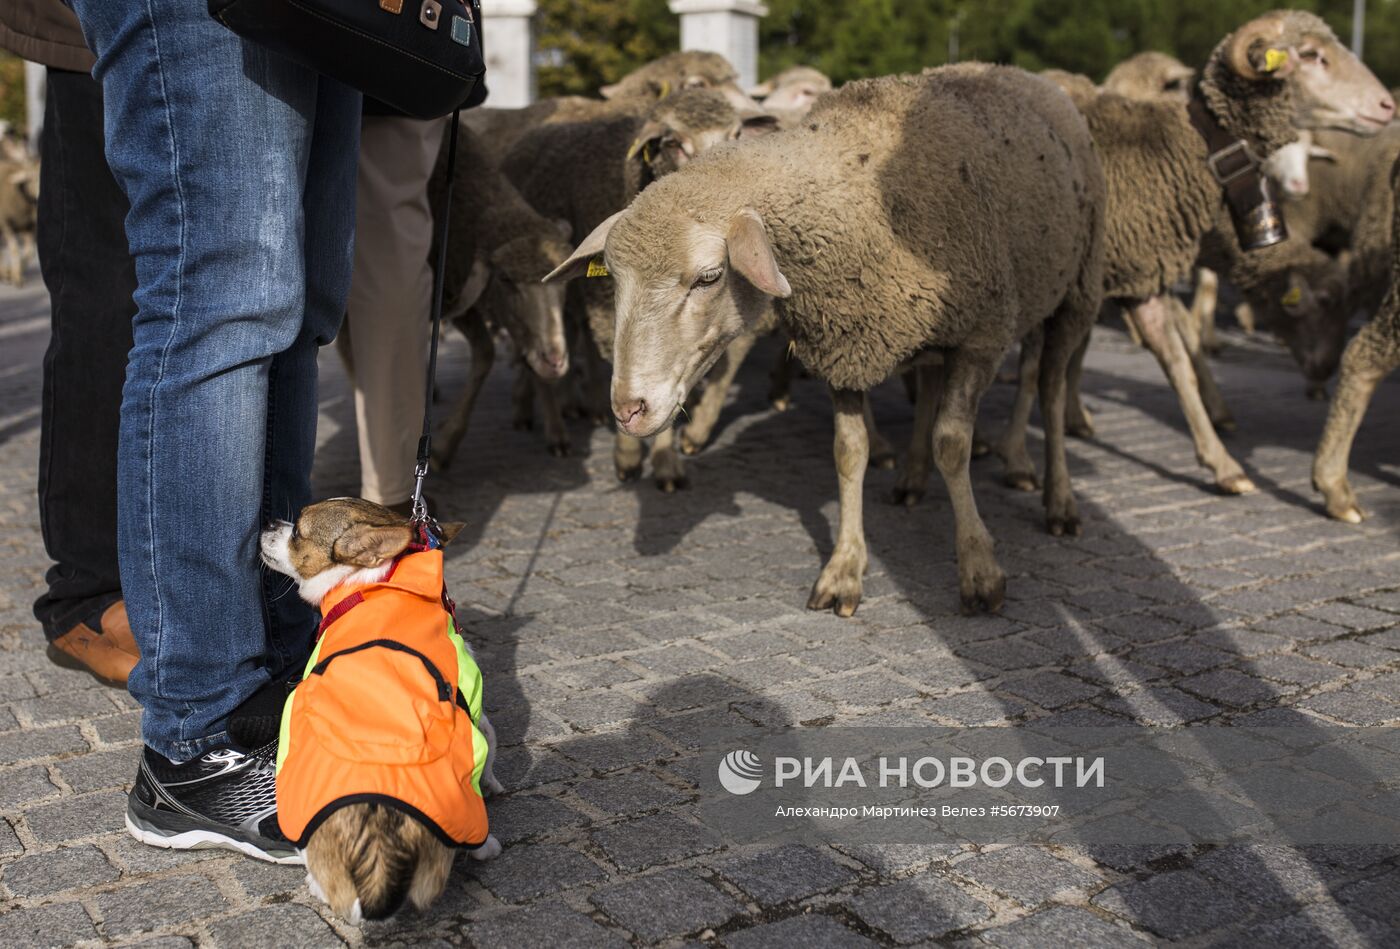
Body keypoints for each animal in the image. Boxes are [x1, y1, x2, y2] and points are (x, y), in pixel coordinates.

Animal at [428, 125, 576, 467]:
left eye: (562, 279)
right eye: (506, 279)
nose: (556, 361)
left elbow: (511, 354)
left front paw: (556, 431)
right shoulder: (451, 295)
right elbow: (485, 353)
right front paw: (443, 445)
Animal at [546, 66, 1103, 615]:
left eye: (708, 277)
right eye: (614, 278)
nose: (627, 410)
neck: (855, 196)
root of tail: (1032, 76)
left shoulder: (981, 337)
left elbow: (952, 443)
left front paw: (980, 570)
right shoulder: (845, 341)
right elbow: (848, 452)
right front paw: (844, 569)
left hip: (1075, 291)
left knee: (1051, 391)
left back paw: (1059, 501)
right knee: (928, 383)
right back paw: (912, 478)